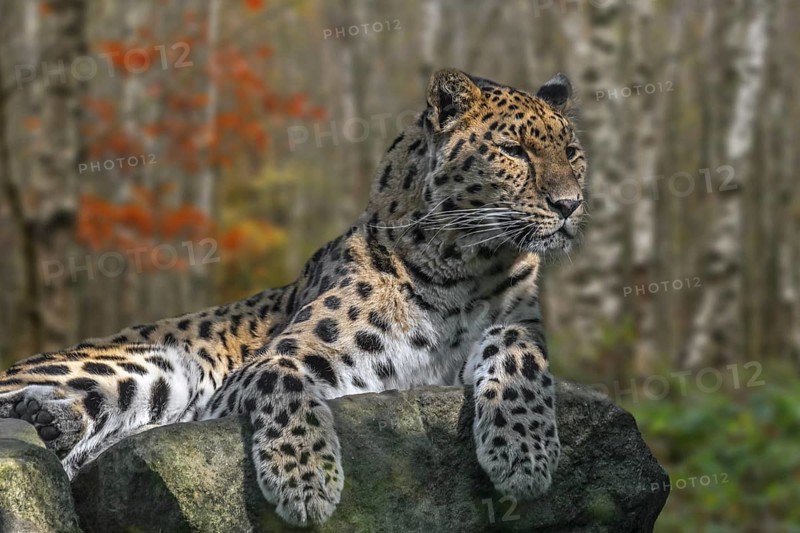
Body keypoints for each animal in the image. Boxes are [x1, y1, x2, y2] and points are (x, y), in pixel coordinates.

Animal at [0, 68, 587, 527]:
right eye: (513, 151)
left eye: (573, 154)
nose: (570, 205)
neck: (464, 269)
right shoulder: (250, 378)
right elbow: (283, 379)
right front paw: (305, 481)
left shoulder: (514, 328)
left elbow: (517, 346)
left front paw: (525, 453)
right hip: (158, 361)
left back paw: (50, 419)